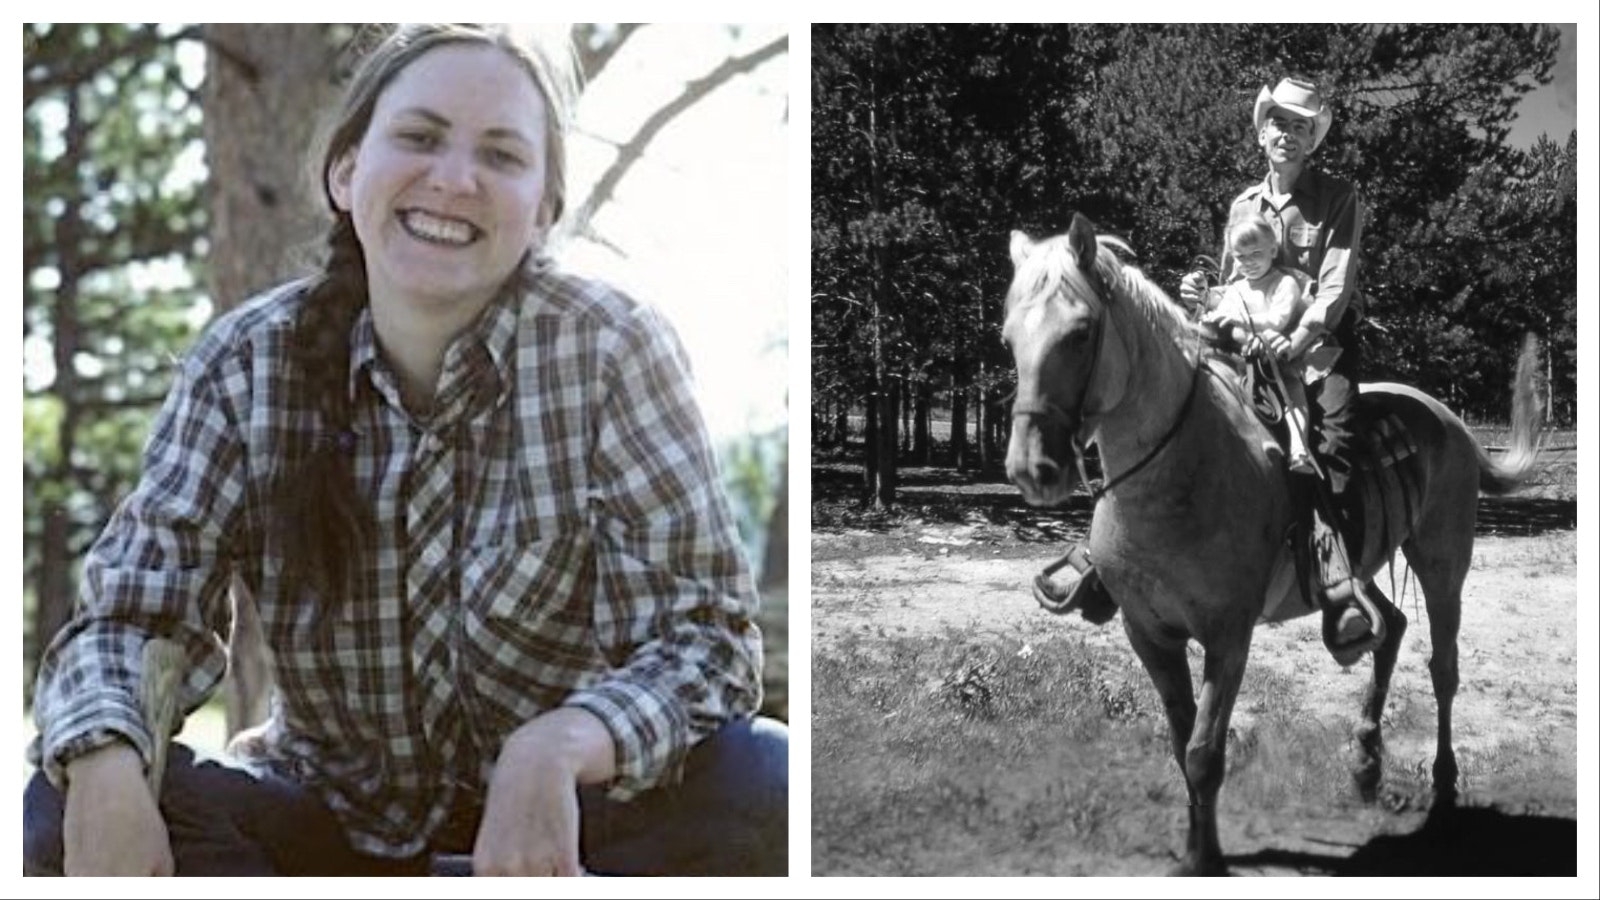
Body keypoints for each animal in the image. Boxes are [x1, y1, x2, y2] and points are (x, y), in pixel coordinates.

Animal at [1004, 212, 1542, 871]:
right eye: (1008, 338)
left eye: (1080, 334)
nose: (1032, 468)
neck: (1176, 474)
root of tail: (1449, 418)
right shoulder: (1148, 632)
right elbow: (1182, 742)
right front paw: (1197, 847)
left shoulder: (1228, 635)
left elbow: (1204, 751)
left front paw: (1205, 861)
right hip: (1358, 571)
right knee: (1388, 629)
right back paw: (1365, 766)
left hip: (1443, 562)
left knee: (1444, 669)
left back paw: (1443, 790)